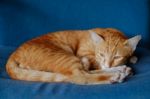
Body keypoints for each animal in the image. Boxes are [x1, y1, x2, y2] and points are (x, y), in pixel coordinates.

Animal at [5, 27, 141, 84]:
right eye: (101, 54)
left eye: (117, 57)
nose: (108, 64)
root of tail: (14, 54)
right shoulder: (83, 53)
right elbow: (95, 64)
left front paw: (131, 58)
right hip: (66, 57)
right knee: (79, 76)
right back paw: (115, 75)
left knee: (85, 72)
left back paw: (121, 70)